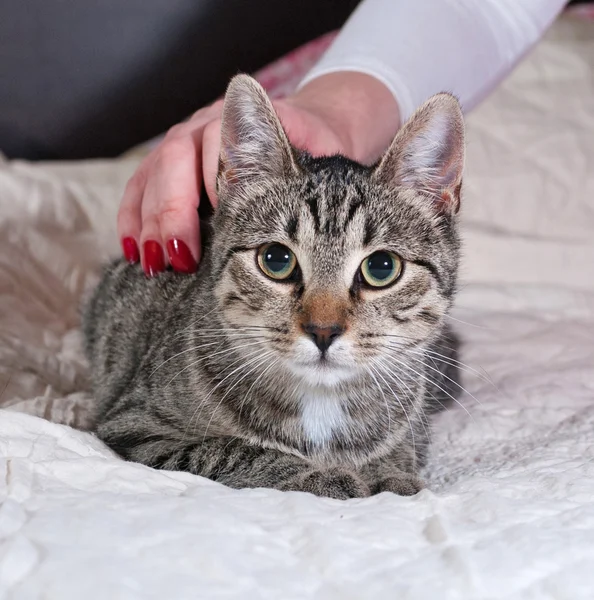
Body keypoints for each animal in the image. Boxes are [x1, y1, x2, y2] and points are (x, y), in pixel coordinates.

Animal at [84, 74, 462, 496]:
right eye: (276, 260)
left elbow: (401, 451)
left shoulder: (413, 426)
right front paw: (320, 474)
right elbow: (229, 450)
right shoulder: (136, 429)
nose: (323, 330)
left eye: (382, 267)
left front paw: (390, 474)